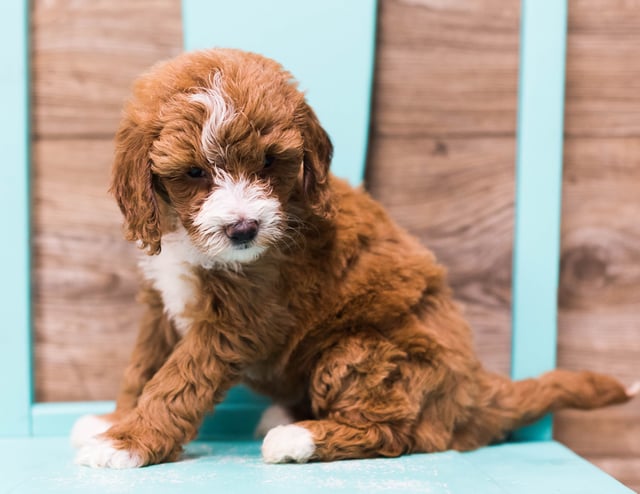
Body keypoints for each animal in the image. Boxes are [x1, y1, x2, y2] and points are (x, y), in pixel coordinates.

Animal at [71, 48, 636, 468]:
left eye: (270, 162)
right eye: (193, 173)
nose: (244, 229)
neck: (189, 240)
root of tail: (473, 390)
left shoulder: (238, 321)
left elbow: (177, 380)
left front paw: (128, 442)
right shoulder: (161, 300)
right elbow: (144, 363)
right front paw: (114, 420)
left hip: (362, 352)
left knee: (396, 432)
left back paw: (298, 437)